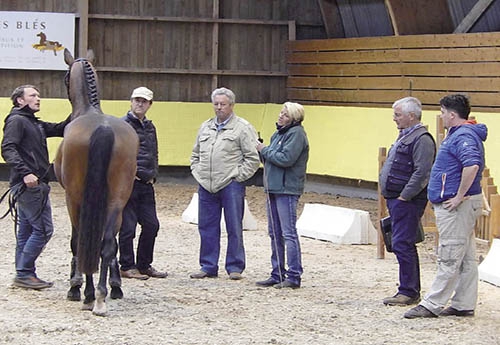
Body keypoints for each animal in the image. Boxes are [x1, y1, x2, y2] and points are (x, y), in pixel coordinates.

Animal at [54, 49, 139, 316]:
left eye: (65, 76)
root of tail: (103, 128)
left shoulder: (72, 199)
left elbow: (76, 242)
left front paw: (75, 286)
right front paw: (115, 286)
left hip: (75, 199)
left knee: (82, 241)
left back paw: (90, 295)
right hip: (116, 201)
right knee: (107, 244)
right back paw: (101, 297)